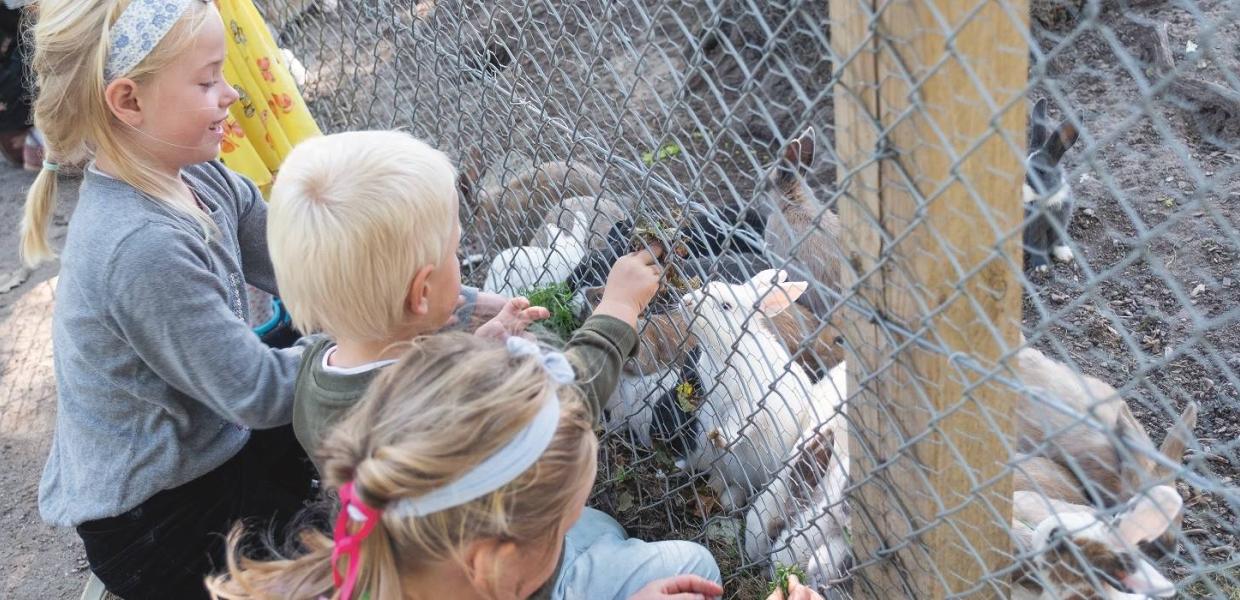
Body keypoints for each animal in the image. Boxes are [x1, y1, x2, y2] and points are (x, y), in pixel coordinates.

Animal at [1021, 99, 1081, 272]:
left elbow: (1058, 240)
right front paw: (1041, 267)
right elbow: (1037, 244)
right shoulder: (1034, 227)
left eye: (1041, 172)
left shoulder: (1061, 222)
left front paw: (1065, 256)